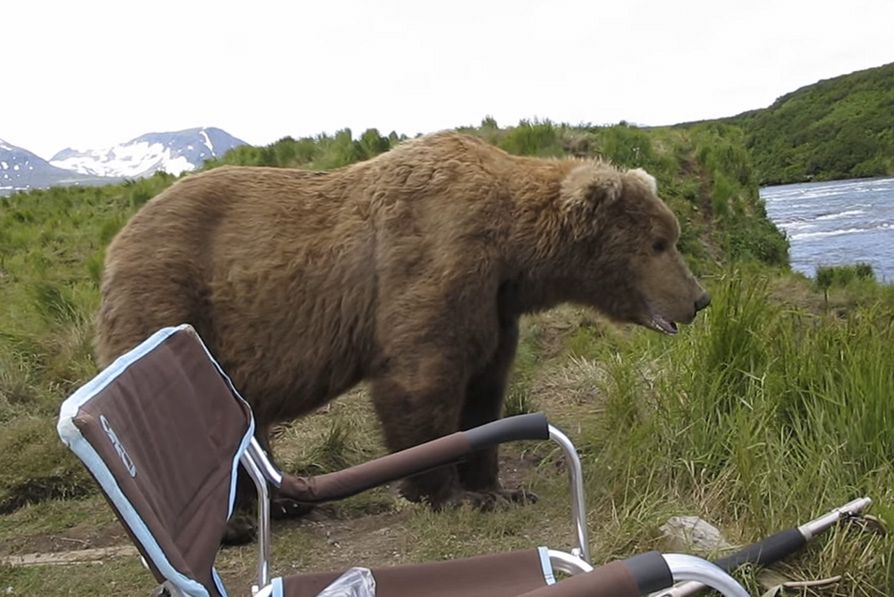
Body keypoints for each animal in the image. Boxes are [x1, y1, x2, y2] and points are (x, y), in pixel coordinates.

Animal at [96, 133, 708, 544]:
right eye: (659, 243)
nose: (699, 298)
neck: (515, 252)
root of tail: (119, 237)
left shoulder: (495, 305)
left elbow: (485, 389)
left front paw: (499, 488)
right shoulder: (434, 260)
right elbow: (422, 381)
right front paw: (446, 494)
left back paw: (284, 504)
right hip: (173, 300)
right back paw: (236, 525)